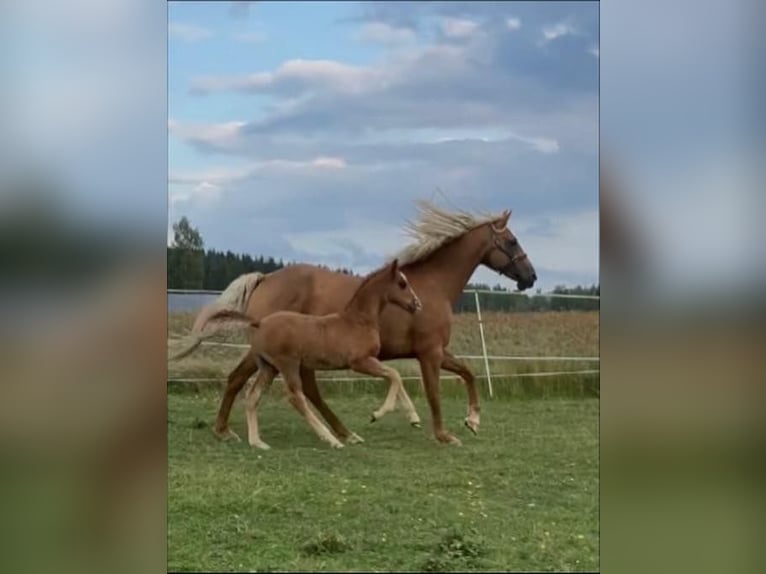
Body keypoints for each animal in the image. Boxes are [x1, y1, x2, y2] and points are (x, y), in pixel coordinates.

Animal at [203, 259, 422, 449]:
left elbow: (394, 377)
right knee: (295, 397)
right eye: (402, 283)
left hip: (268, 367)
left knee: (253, 395)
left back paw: (257, 442)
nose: (417, 304)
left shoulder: (370, 361)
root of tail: (260, 323)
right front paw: (378, 414)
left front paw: (413, 418)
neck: (358, 320)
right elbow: (394, 375)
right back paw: (331, 439)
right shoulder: (359, 362)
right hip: (287, 365)